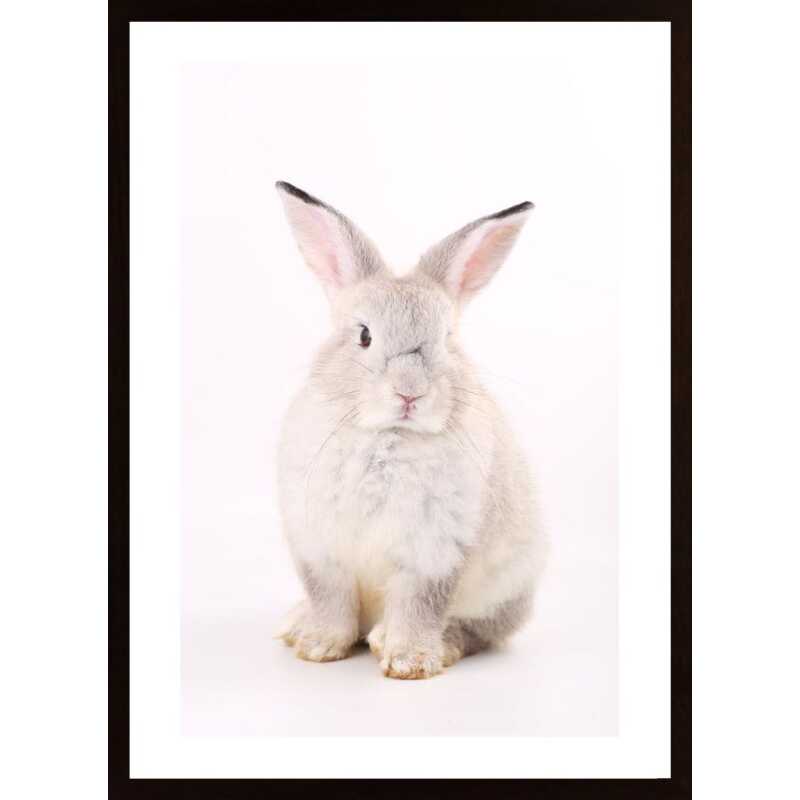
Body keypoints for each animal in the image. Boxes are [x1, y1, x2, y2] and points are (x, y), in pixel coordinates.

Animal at [274, 181, 549, 679]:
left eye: (446, 339)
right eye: (364, 335)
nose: (410, 393)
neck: (387, 434)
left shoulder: (434, 554)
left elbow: (420, 606)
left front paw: (409, 661)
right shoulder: (318, 548)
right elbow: (329, 599)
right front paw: (318, 646)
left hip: (504, 588)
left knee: (480, 631)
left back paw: (425, 643)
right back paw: (295, 625)